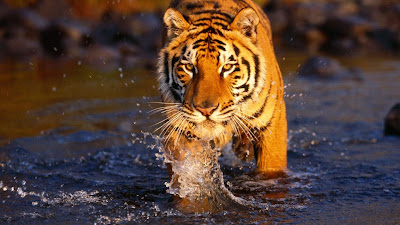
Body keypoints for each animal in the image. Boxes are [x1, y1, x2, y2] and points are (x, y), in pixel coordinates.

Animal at [157, 0, 288, 181]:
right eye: (189, 67)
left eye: (227, 67)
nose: (206, 110)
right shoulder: (178, 130)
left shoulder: (272, 123)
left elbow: (271, 169)